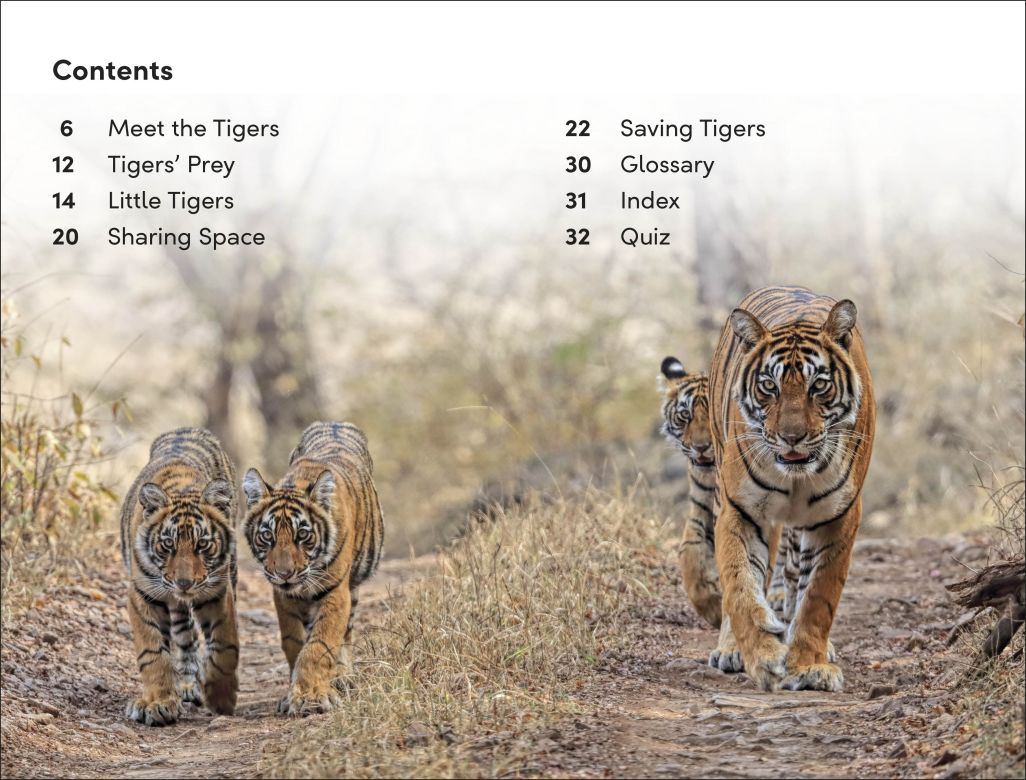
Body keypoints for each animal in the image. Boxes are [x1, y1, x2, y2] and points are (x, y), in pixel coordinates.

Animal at [119, 427, 240, 726]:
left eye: (203, 544)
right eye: (167, 544)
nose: (184, 584)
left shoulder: (217, 592)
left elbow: (224, 644)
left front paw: (221, 697)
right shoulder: (143, 595)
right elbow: (153, 653)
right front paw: (160, 703)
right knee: (185, 636)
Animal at [242, 421, 384, 716]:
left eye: (303, 535)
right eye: (267, 536)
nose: (284, 574)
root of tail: (335, 423)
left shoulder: (335, 591)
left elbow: (319, 644)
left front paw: (312, 696)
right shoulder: (284, 596)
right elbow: (294, 643)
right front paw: (295, 693)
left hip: (352, 588)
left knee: (346, 632)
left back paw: (341, 677)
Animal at [708, 285, 875, 692]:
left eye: (820, 385)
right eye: (769, 385)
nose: (792, 437)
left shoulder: (839, 517)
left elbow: (818, 597)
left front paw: (810, 666)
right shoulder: (742, 510)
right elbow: (740, 586)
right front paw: (764, 658)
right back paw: (731, 650)